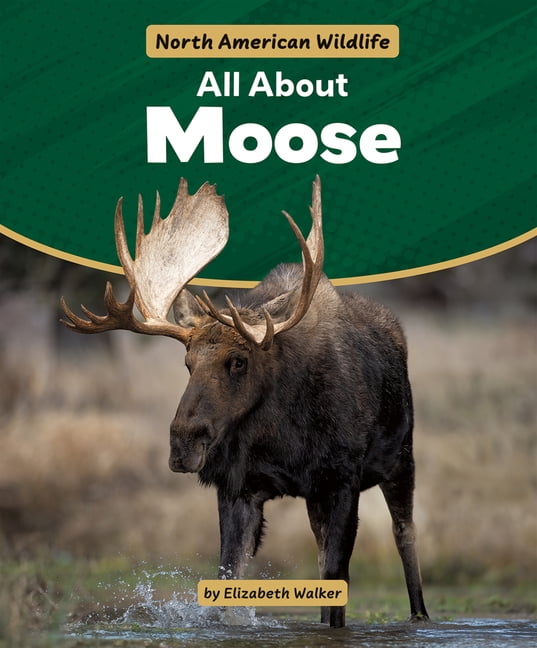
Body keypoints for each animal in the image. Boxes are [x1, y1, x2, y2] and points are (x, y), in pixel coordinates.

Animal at [60, 176, 429, 628]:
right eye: (187, 362)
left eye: (238, 360)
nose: (183, 443)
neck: (284, 438)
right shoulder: (238, 487)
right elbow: (230, 577)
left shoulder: (342, 478)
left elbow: (337, 579)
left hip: (401, 459)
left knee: (404, 533)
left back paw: (420, 615)